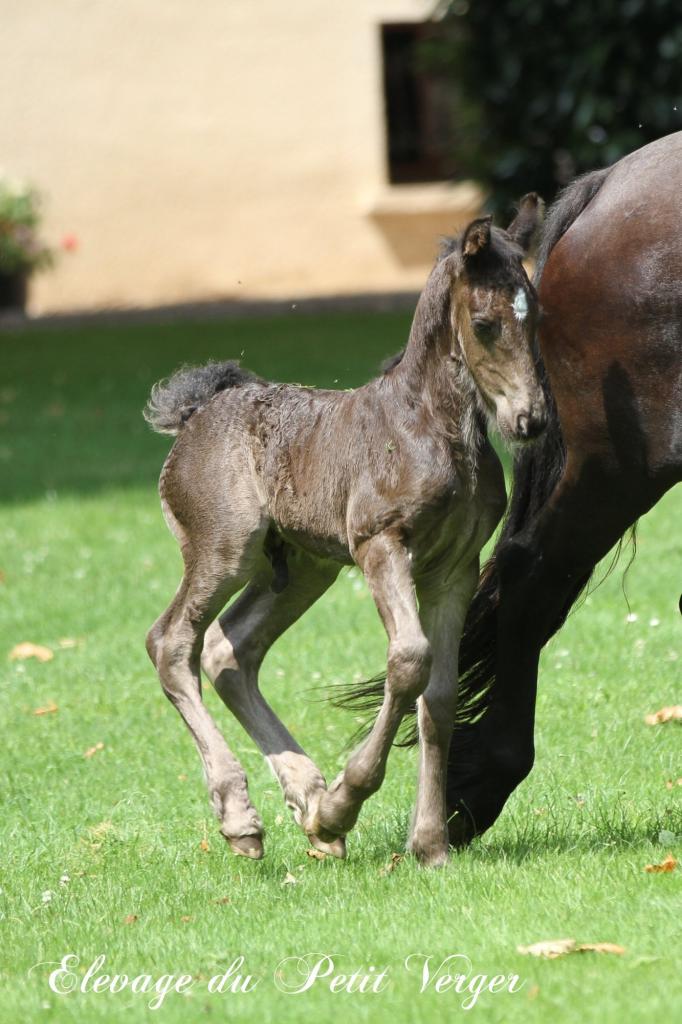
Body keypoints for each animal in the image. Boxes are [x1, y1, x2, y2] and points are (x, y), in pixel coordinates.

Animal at [146, 195, 544, 868]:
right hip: (224, 549)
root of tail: (196, 414)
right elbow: (410, 661)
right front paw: (343, 805)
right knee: (172, 642)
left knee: (231, 649)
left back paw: (304, 795)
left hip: (304, 567)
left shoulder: (455, 567)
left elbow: (439, 696)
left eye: (535, 314)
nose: (532, 419)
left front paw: (429, 845)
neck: (433, 429)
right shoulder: (381, 543)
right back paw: (244, 816)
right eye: (486, 323)